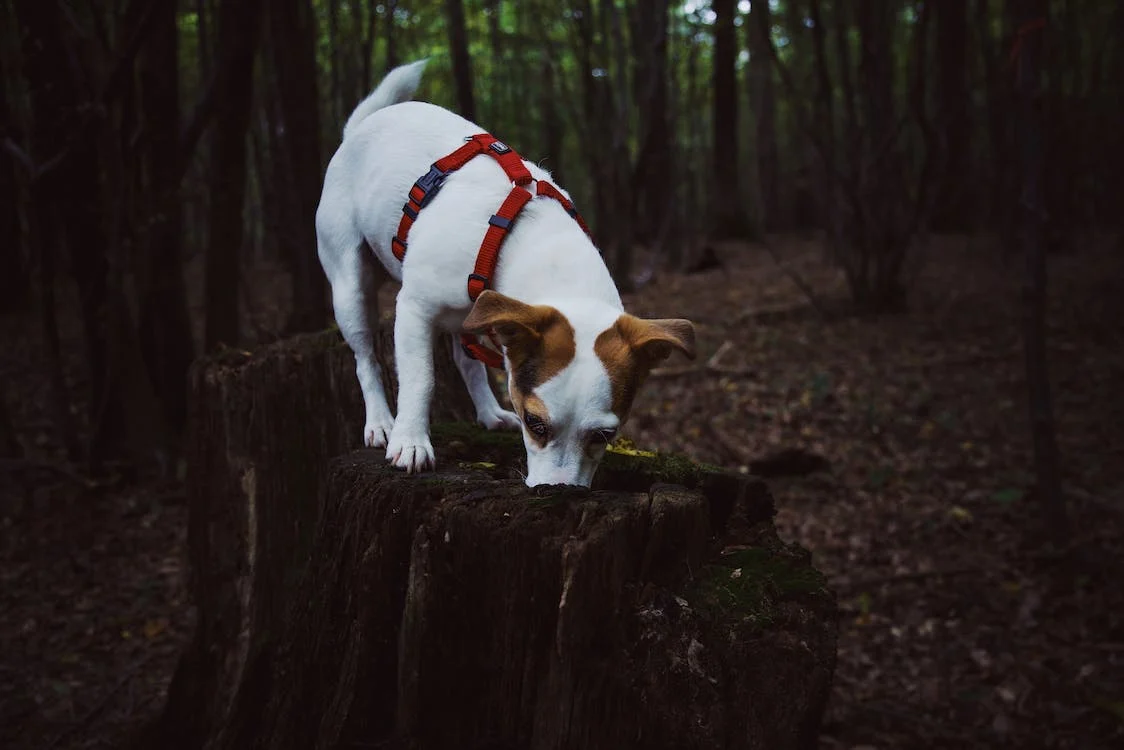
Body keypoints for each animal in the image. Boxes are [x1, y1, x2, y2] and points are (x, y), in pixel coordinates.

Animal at [316, 61, 696, 490]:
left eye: (604, 435)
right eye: (535, 423)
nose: (559, 493)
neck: (532, 240)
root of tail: (359, 128)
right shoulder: (414, 309)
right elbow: (420, 378)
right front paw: (411, 440)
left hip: (470, 315)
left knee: (466, 360)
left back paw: (487, 412)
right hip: (350, 284)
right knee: (365, 355)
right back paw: (381, 421)